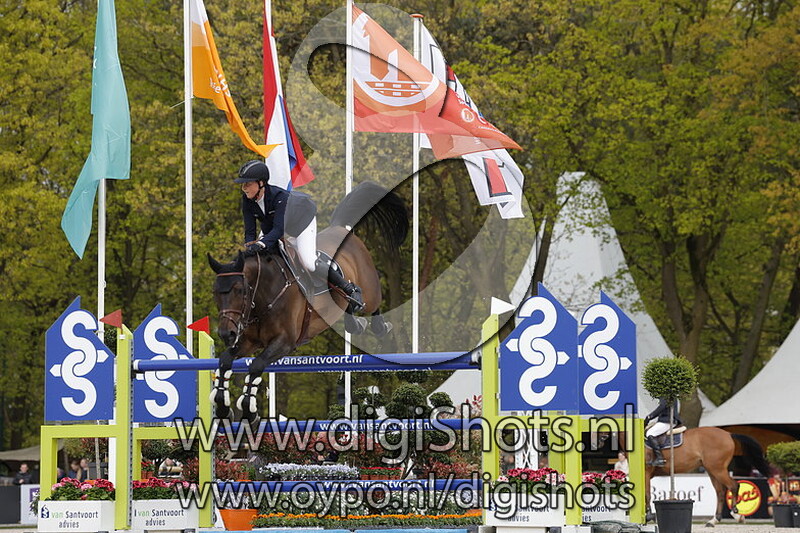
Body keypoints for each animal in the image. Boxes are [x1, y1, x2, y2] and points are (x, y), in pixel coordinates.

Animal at [207, 182, 408, 427]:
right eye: (215, 293)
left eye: (239, 290)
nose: (225, 333)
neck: (263, 294)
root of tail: (340, 228)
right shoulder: (249, 341)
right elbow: (225, 361)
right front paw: (222, 407)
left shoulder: (285, 342)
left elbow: (256, 366)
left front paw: (249, 410)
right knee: (347, 310)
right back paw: (356, 324)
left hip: (370, 288)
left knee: (369, 303)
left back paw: (376, 323)